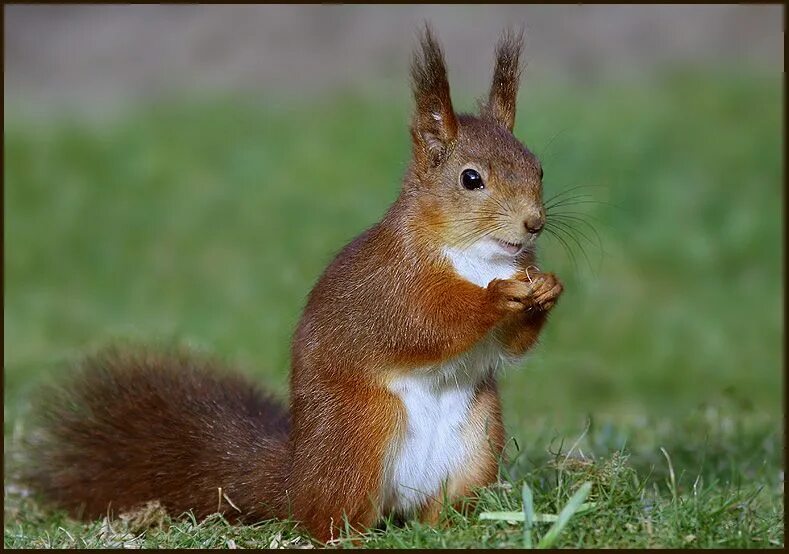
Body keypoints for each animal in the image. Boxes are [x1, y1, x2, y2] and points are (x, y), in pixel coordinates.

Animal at [23, 25, 560, 540]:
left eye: (538, 167)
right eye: (471, 179)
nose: (533, 224)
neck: (480, 258)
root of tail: (294, 478)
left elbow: (511, 345)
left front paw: (547, 289)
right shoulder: (394, 283)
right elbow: (424, 323)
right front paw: (498, 296)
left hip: (477, 440)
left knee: (439, 507)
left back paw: (452, 527)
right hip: (358, 436)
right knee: (324, 518)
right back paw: (350, 536)